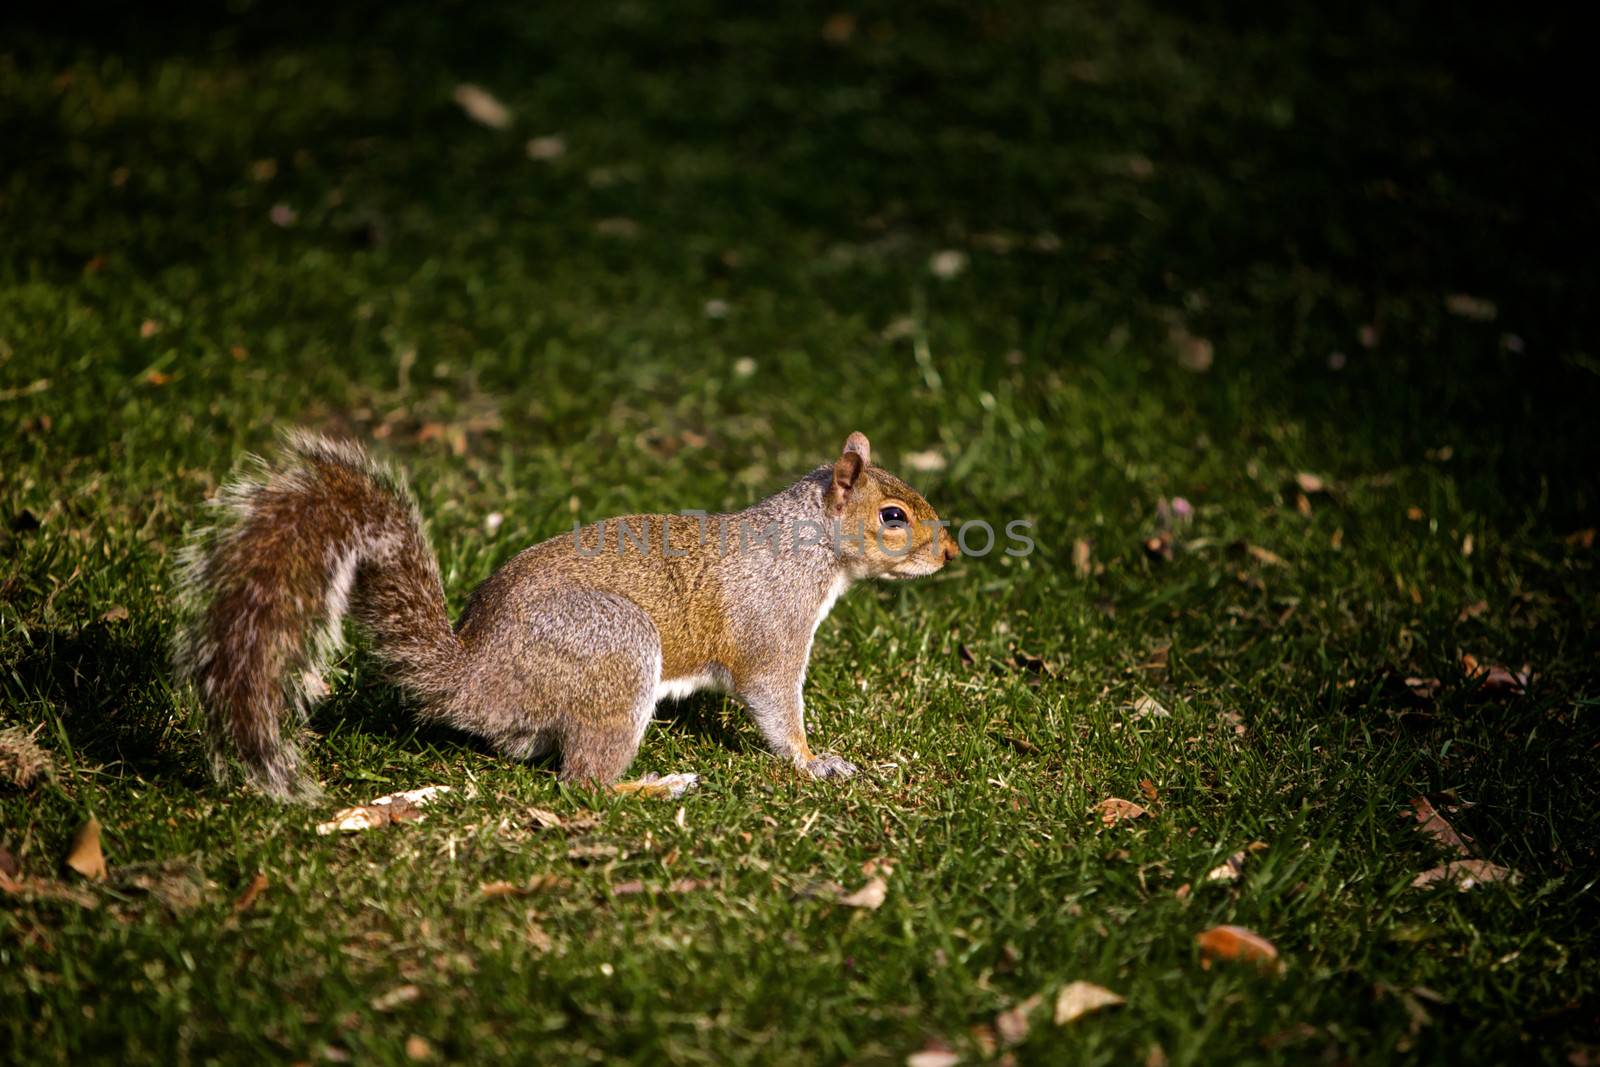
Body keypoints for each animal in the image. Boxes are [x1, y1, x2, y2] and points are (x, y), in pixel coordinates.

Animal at [170, 428, 953, 796]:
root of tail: (474, 677)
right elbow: (774, 704)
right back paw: (652, 785)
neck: (808, 545)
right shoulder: (773, 629)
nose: (948, 551)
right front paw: (815, 762)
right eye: (892, 515)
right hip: (616, 646)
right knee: (585, 783)